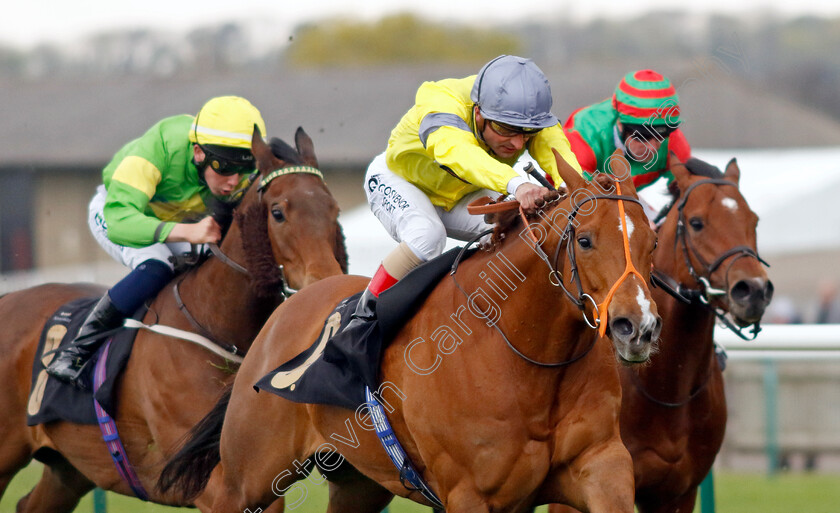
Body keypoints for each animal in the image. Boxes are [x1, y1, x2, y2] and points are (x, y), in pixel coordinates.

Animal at [0, 125, 348, 508]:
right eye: (278, 212)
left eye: (333, 209)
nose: (326, 281)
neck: (215, 325)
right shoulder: (210, 484)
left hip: (69, 469)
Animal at [159, 150, 664, 512]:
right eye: (585, 240)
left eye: (652, 241)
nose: (637, 327)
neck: (529, 355)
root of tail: (286, 308)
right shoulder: (470, 494)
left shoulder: (600, 466)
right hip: (250, 475)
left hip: (358, 483)